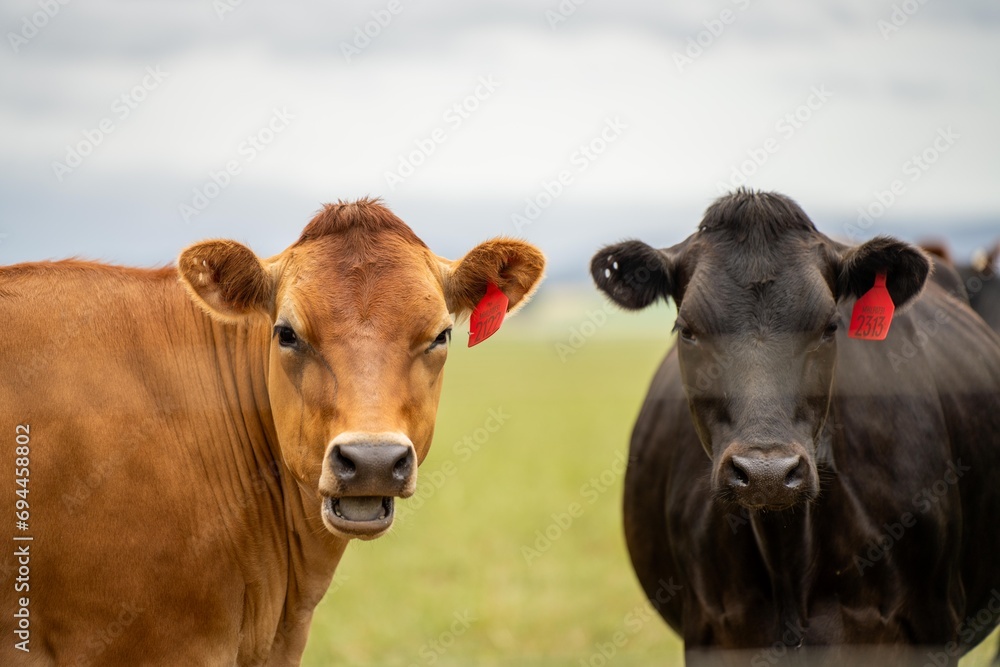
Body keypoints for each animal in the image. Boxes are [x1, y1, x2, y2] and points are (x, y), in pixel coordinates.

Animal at [588, 190, 1000, 664]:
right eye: (687, 330)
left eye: (830, 326)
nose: (765, 474)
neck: (790, 563)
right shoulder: (713, 634)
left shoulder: (930, 626)